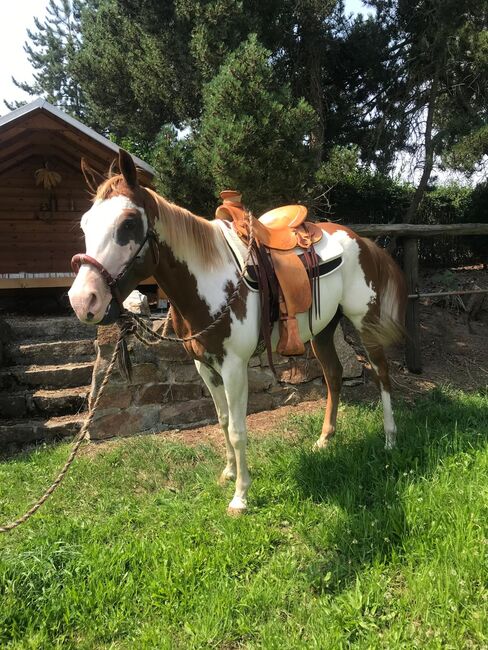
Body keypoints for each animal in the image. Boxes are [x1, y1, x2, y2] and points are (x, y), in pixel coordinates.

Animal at [69, 150, 407, 515]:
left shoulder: (233, 367)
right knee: (333, 375)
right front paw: (229, 473)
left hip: (363, 321)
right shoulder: (204, 365)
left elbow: (237, 428)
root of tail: (360, 239)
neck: (209, 281)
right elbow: (221, 419)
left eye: (129, 222)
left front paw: (240, 496)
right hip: (323, 329)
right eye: (85, 223)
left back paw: (390, 439)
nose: (83, 300)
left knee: (381, 374)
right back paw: (324, 439)